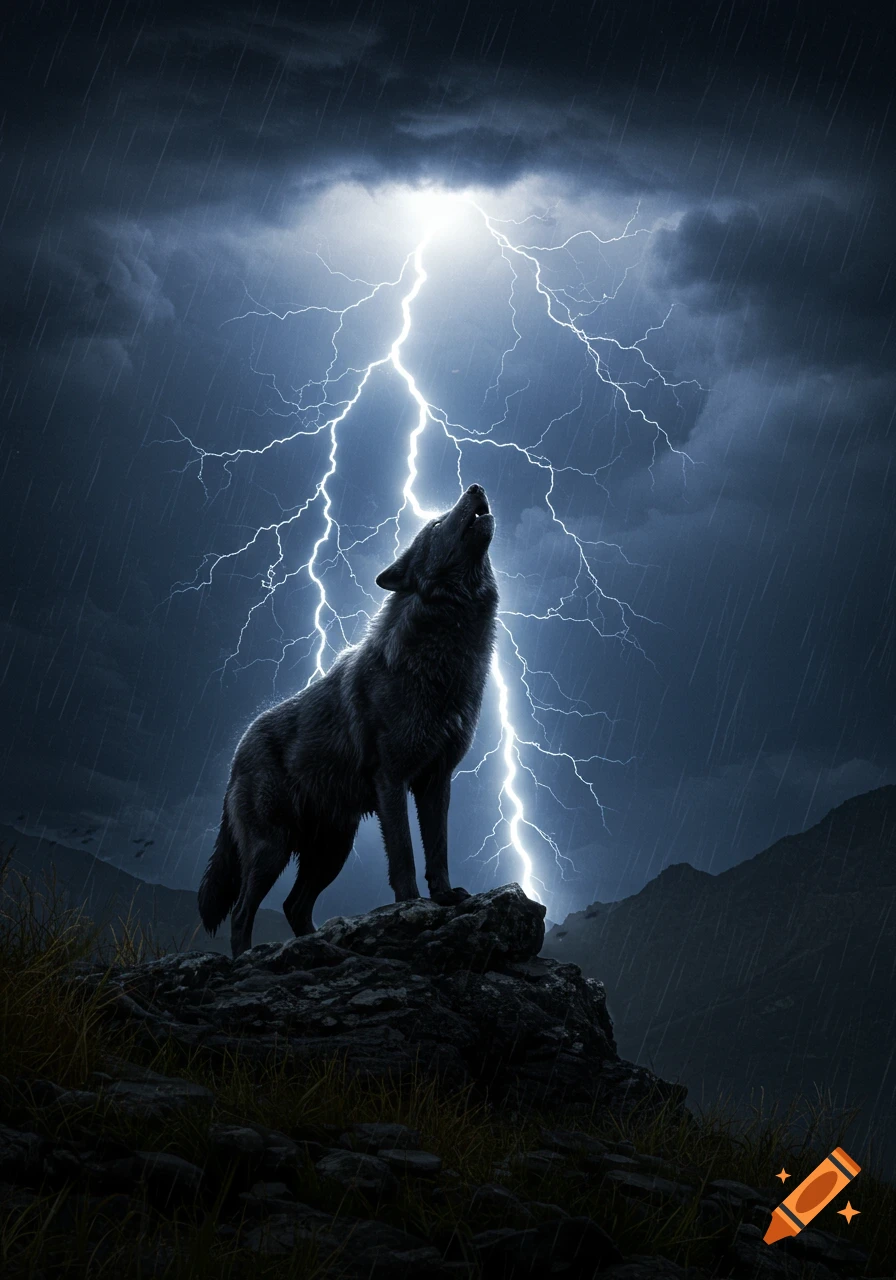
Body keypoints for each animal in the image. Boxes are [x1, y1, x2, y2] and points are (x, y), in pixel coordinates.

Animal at [197, 483, 498, 957]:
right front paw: (411, 905)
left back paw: (328, 948)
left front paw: (446, 896)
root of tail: (236, 755)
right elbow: (404, 854)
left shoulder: (436, 779)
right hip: (272, 850)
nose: (476, 487)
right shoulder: (392, 779)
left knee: (294, 906)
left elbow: (438, 849)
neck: (442, 658)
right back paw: (247, 957)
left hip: (332, 850)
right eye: (436, 523)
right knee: (243, 912)